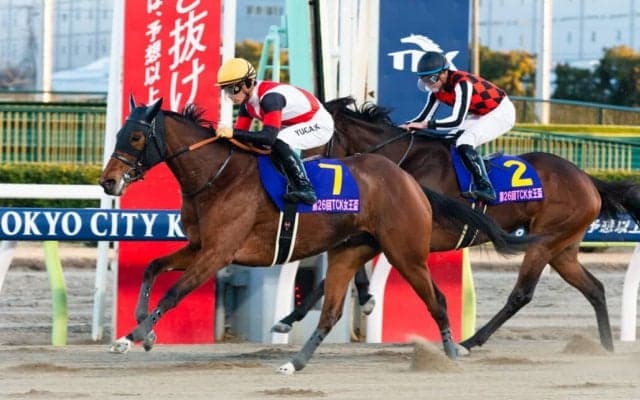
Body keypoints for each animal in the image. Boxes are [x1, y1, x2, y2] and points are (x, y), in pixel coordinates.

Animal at [99, 96, 532, 374]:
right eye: (118, 133)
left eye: (136, 137)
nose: (107, 181)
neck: (218, 176)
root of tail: (410, 183)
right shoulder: (199, 246)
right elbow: (153, 268)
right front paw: (142, 332)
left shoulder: (218, 252)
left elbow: (174, 292)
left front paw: (133, 336)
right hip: (350, 250)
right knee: (332, 310)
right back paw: (294, 362)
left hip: (406, 253)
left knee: (437, 299)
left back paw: (451, 355)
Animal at [277, 96, 640, 353]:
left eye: (310, 135)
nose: (297, 174)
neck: (404, 161)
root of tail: (589, 179)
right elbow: (339, 274)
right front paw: (295, 316)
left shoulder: (410, 234)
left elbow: (337, 276)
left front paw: (300, 315)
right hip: (563, 249)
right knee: (595, 288)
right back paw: (606, 348)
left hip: (544, 242)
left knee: (522, 294)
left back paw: (470, 342)